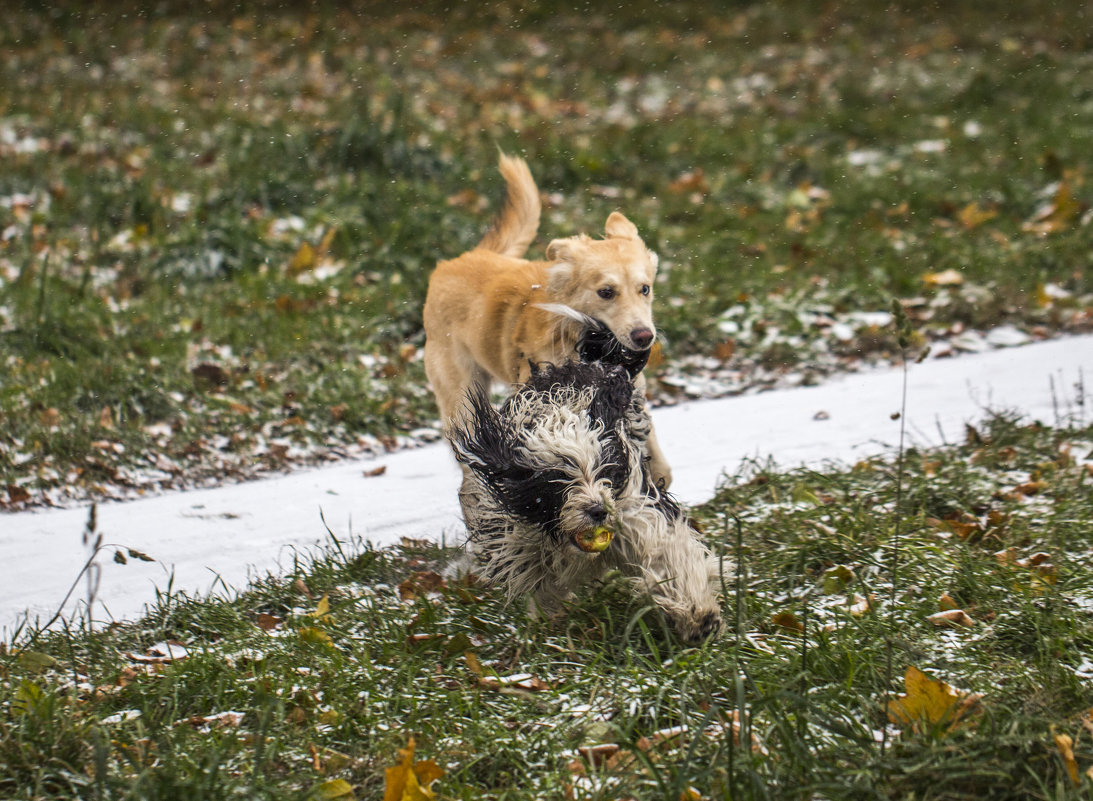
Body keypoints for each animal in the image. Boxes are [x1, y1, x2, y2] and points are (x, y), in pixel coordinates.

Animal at [421, 151, 668, 487]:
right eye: (606, 292)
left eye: (645, 289)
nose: (644, 337)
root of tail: (453, 263)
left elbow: (657, 461)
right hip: (462, 400)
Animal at [448, 358, 721, 646]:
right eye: (556, 481)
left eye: (607, 471)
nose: (598, 511)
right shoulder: (519, 544)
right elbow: (544, 589)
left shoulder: (637, 511)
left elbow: (666, 554)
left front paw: (699, 616)